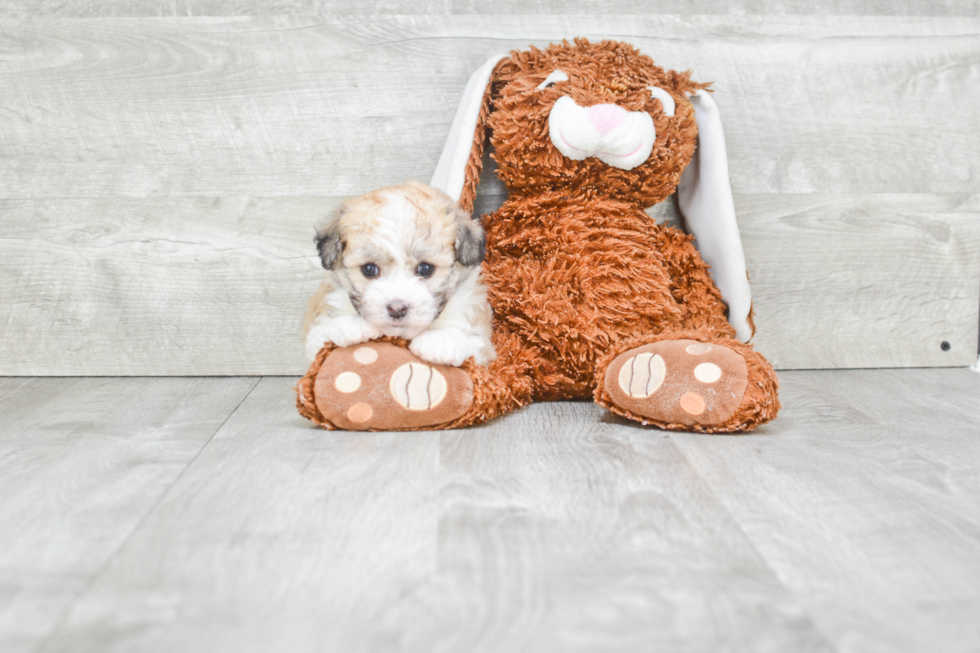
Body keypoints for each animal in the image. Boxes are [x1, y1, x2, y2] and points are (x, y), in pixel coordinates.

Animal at [300, 181, 498, 370]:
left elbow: (472, 339)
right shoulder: (316, 331)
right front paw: (350, 325)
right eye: (369, 269)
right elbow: (322, 332)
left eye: (425, 268)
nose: (397, 309)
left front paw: (440, 341)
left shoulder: (481, 340)